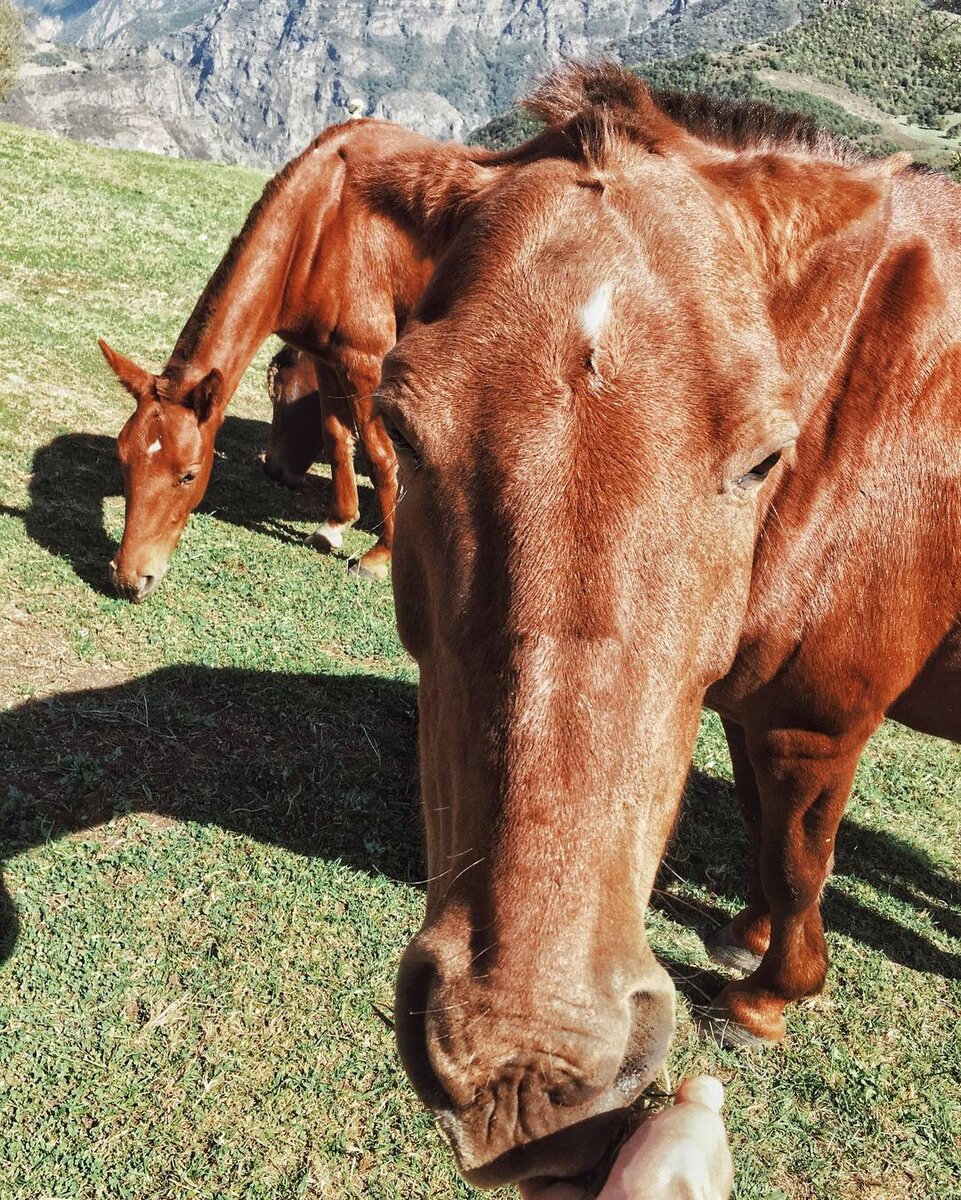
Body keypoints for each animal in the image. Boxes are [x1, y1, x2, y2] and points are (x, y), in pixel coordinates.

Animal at [97, 119, 434, 597]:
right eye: (122, 458)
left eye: (188, 474)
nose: (128, 578)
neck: (325, 218)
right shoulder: (328, 359)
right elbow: (337, 438)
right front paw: (335, 524)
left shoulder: (366, 363)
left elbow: (382, 458)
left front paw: (380, 556)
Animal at [352, 63, 959, 1190]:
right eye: (399, 427)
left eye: (763, 458)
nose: (524, 1062)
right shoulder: (750, 707)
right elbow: (767, 831)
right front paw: (747, 940)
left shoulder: (817, 721)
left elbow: (799, 852)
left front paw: (768, 996)